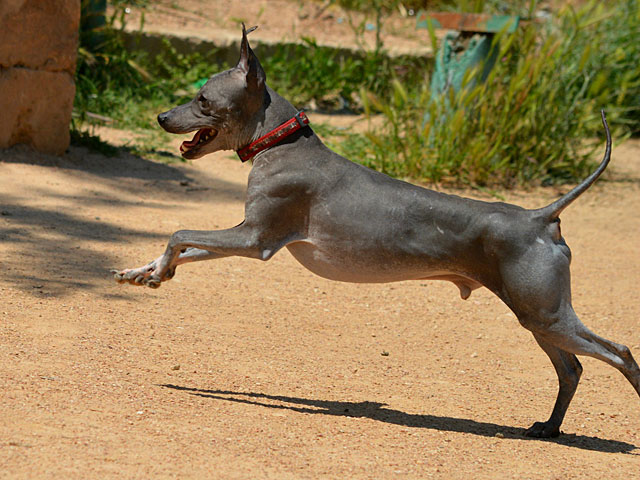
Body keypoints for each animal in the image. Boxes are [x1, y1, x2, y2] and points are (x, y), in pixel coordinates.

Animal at [112, 25, 636, 438]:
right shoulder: (250, 237)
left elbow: (180, 231)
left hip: (545, 314)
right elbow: (185, 248)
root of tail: (540, 216)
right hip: (537, 315)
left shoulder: (256, 240)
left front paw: (156, 270)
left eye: (202, 100)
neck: (280, 143)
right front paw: (146, 273)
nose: (161, 117)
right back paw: (548, 428)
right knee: (572, 369)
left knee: (622, 353)